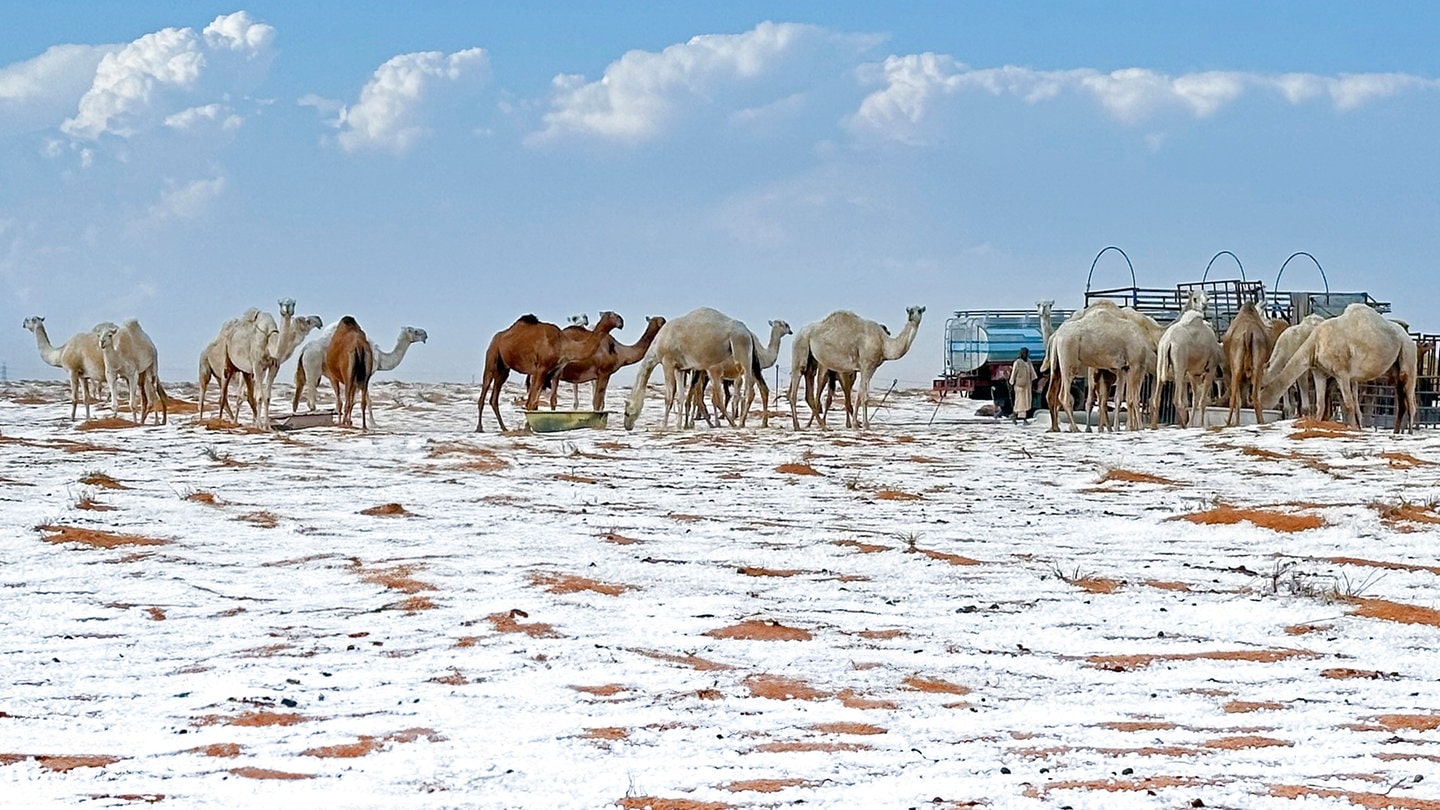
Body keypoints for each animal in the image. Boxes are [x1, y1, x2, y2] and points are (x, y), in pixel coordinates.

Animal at [292, 321, 426, 412]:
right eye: (415, 331)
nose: (425, 334)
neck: (381, 358)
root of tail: (304, 350)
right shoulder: (365, 374)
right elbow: (367, 401)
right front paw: (373, 425)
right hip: (313, 367)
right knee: (311, 390)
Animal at [478, 309, 624, 435]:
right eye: (614, 315)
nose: (621, 322)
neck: (562, 344)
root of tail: (498, 336)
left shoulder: (553, 372)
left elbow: (546, 401)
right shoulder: (541, 369)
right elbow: (531, 403)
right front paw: (529, 429)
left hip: (504, 368)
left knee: (494, 398)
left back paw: (504, 428)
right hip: (492, 355)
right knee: (485, 388)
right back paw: (479, 428)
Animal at [627, 305, 771, 429]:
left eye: (627, 412)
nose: (627, 425)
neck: (658, 345)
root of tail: (748, 332)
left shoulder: (667, 362)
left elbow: (669, 396)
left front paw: (664, 426)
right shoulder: (680, 368)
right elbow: (680, 397)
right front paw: (679, 425)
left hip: (741, 350)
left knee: (748, 391)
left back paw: (739, 423)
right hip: (751, 358)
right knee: (761, 388)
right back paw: (760, 423)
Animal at [789, 302, 921, 429]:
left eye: (919, 310)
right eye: (910, 310)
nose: (911, 316)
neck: (883, 343)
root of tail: (799, 332)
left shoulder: (870, 368)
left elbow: (859, 396)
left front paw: (856, 424)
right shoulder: (866, 365)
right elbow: (864, 396)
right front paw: (864, 425)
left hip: (811, 361)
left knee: (809, 391)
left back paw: (823, 426)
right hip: (800, 348)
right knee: (795, 389)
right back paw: (797, 426)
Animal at [1261, 299, 1416, 432]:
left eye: (1259, 390)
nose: (1258, 409)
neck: (1315, 344)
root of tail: (1409, 337)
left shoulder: (1341, 373)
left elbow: (1348, 404)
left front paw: (1353, 429)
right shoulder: (1319, 371)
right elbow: (1320, 404)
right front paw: (1316, 425)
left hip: (1408, 355)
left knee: (1410, 402)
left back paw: (1408, 433)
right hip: (1395, 369)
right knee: (1401, 402)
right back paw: (1396, 432)